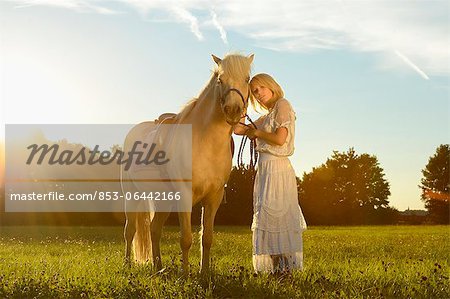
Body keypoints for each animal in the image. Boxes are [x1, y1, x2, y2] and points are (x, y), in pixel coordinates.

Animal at [122, 53, 253, 274]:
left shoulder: (214, 197)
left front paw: (204, 273)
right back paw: (127, 265)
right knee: (130, 230)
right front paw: (185, 275)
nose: (233, 110)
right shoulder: (184, 195)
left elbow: (207, 238)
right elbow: (186, 239)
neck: (205, 142)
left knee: (154, 229)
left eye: (247, 79)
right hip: (132, 195)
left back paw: (159, 267)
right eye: (220, 80)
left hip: (162, 200)